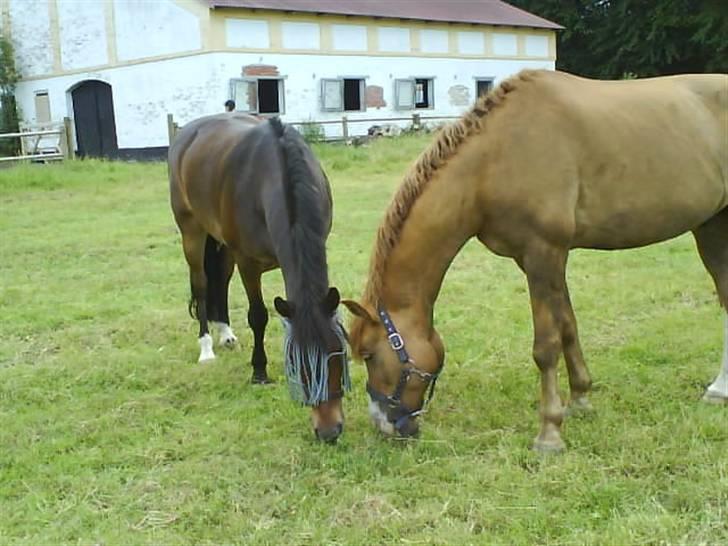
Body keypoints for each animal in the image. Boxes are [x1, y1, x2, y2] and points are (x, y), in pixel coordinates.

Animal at [168, 112, 350, 440]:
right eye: (295, 363)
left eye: (338, 354)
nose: (329, 431)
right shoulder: (248, 263)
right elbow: (258, 316)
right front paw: (259, 371)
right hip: (192, 231)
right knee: (202, 285)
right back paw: (206, 348)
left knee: (221, 281)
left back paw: (226, 334)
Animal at [342, 70, 728, 448]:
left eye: (370, 354)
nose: (383, 425)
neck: (494, 158)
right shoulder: (538, 260)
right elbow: (568, 325)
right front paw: (580, 400)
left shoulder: (544, 253)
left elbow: (546, 346)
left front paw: (549, 432)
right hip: (711, 227)